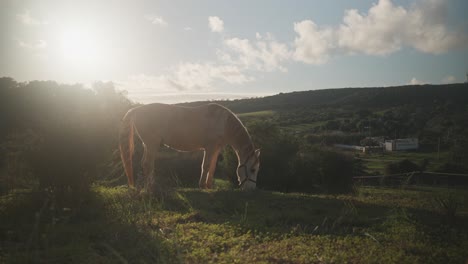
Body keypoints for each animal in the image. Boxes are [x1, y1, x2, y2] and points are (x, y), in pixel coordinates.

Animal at [118, 102, 260, 191]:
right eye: (253, 170)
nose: (251, 189)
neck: (223, 122)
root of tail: (136, 110)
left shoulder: (216, 149)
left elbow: (212, 167)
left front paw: (209, 186)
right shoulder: (210, 148)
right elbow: (206, 166)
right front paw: (202, 185)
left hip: (148, 145)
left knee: (145, 163)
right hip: (152, 144)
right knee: (148, 164)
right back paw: (151, 186)